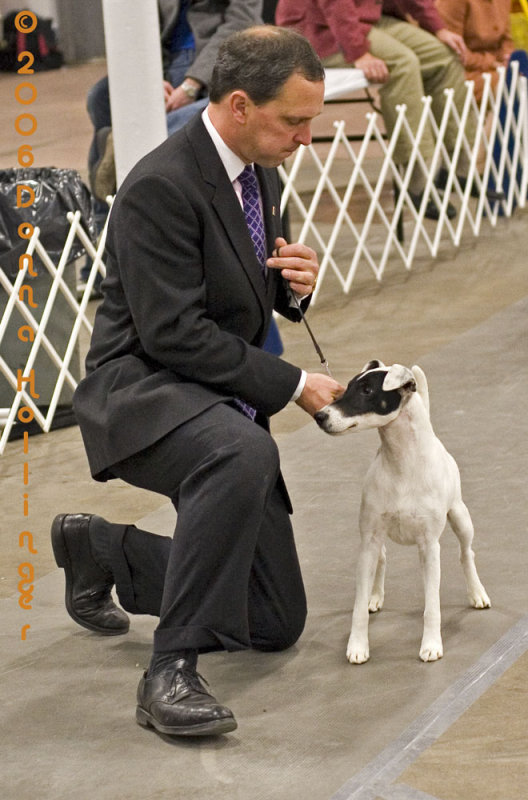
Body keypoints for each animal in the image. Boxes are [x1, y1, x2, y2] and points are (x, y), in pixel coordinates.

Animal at [314, 360, 490, 664]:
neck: (402, 464)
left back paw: (477, 593)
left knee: (466, 553)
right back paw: (375, 596)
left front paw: (431, 645)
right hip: (377, 539)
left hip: (460, 517)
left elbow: (432, 605)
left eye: (367, 390)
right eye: (347, 387)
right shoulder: (369, 540)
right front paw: (357, 645)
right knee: (382, 560)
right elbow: (357, 607)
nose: (320, 415)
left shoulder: (429, 547)